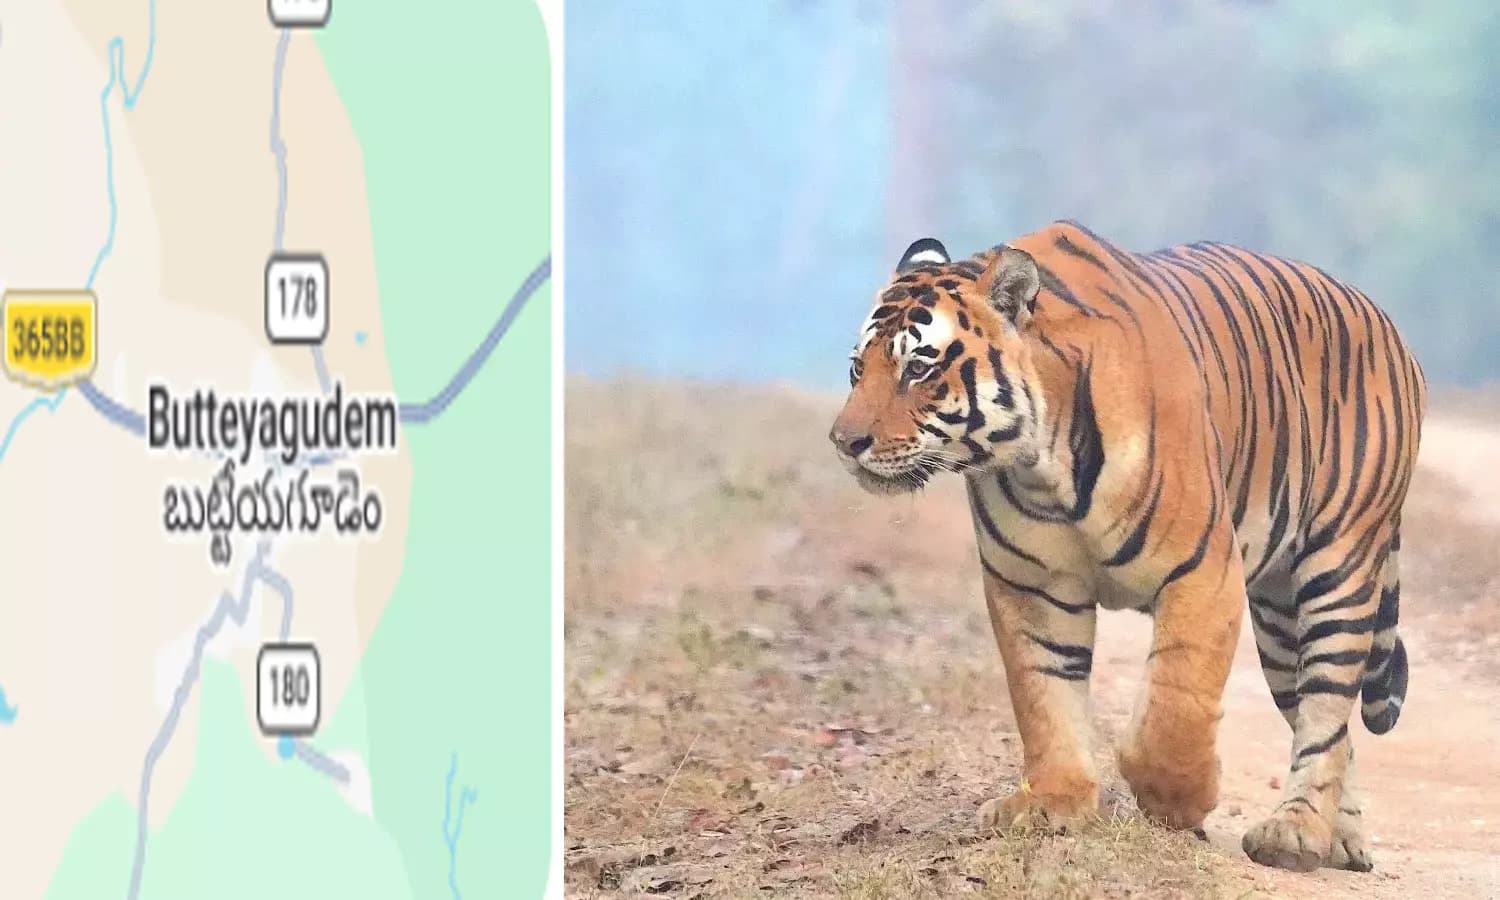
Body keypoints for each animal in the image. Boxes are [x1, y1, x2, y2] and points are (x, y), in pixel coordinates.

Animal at [829, 220, 1425, 873]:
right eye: (858, 369)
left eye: (918, 368)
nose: (843, 441)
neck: (1040, 464)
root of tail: (1387, 323)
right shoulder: (1032, 587)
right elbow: (1044, 696)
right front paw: (1052, 803)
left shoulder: (1204, 572)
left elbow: (1175, 705)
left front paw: (1180, 801)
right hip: (1277, 614)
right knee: (1334, 729)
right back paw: (1341, 837)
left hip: (1338, 568)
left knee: (1326, 707)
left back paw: (1296, 833)